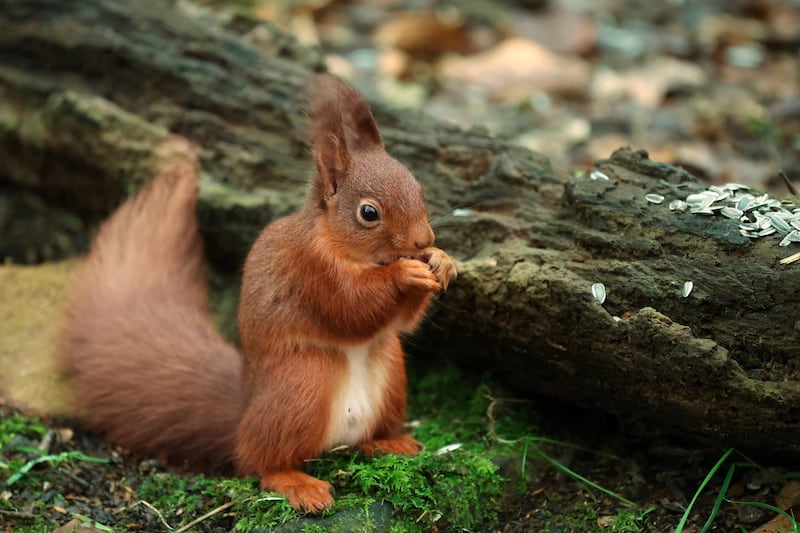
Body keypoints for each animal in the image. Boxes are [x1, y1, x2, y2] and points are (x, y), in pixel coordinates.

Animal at [57, 74, 457, 513]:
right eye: (368, 213)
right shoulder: (310, 268)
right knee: (258, 459)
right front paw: (406, 272)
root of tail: (245, 410)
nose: (424, 239)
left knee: (362, 438)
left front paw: (442, 260)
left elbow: (401, 320)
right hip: (302, 383)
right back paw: (298, 483)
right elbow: (349, 307)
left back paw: (390, 442)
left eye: (418, 187)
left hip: (391, 373)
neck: (346, 248)